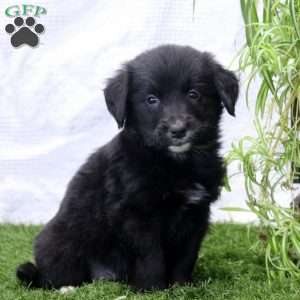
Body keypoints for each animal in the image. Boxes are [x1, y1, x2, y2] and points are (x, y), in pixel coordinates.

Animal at [16, 44, 238, 290]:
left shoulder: (197, 213)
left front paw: (182, 286)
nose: (178, 130)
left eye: (193, 94)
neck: (175, 164)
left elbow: (186, 256)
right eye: (151, 99)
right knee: (51, 276)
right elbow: (151, 256)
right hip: (60, 240)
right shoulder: (137, 214)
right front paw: (153, 289)